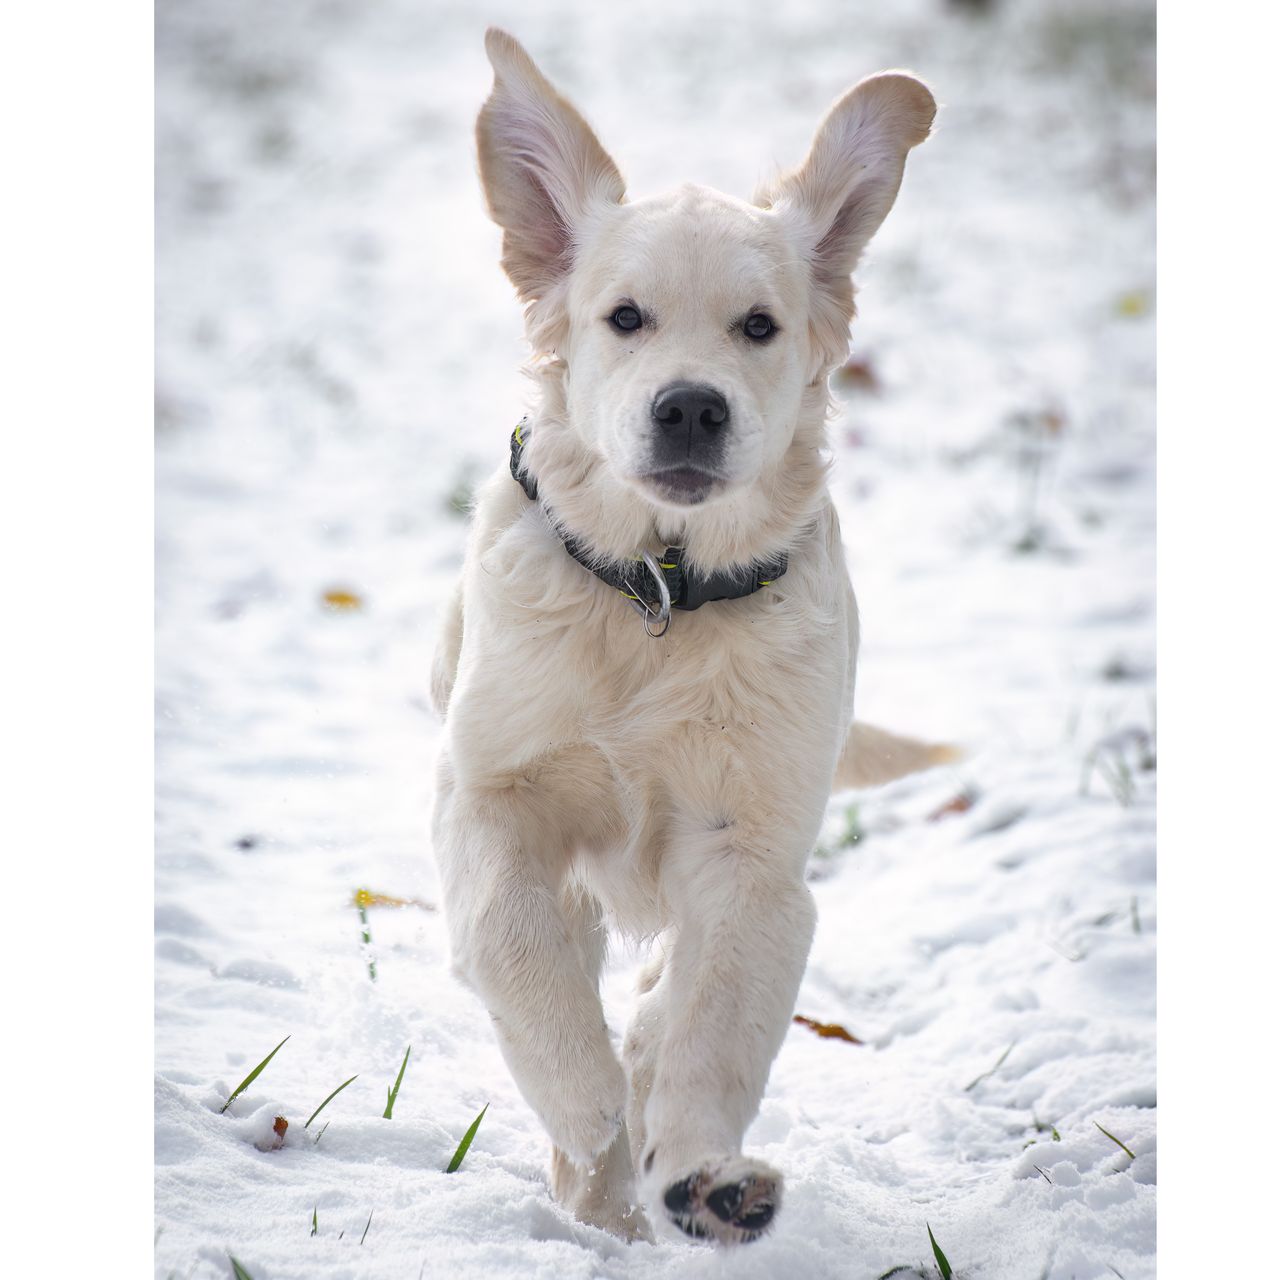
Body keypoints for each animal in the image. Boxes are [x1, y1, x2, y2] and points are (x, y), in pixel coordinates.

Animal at [435, 30, 947, 1244]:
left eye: (758, 327)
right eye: (624, 318)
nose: (689, 408)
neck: (657, 598)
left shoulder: (752, 856)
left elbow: (715, 1026)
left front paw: (705, 1174)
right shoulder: (491, 797)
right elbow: (519, 955)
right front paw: (585, 1100)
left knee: (666, 1009)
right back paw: (598, 1194)